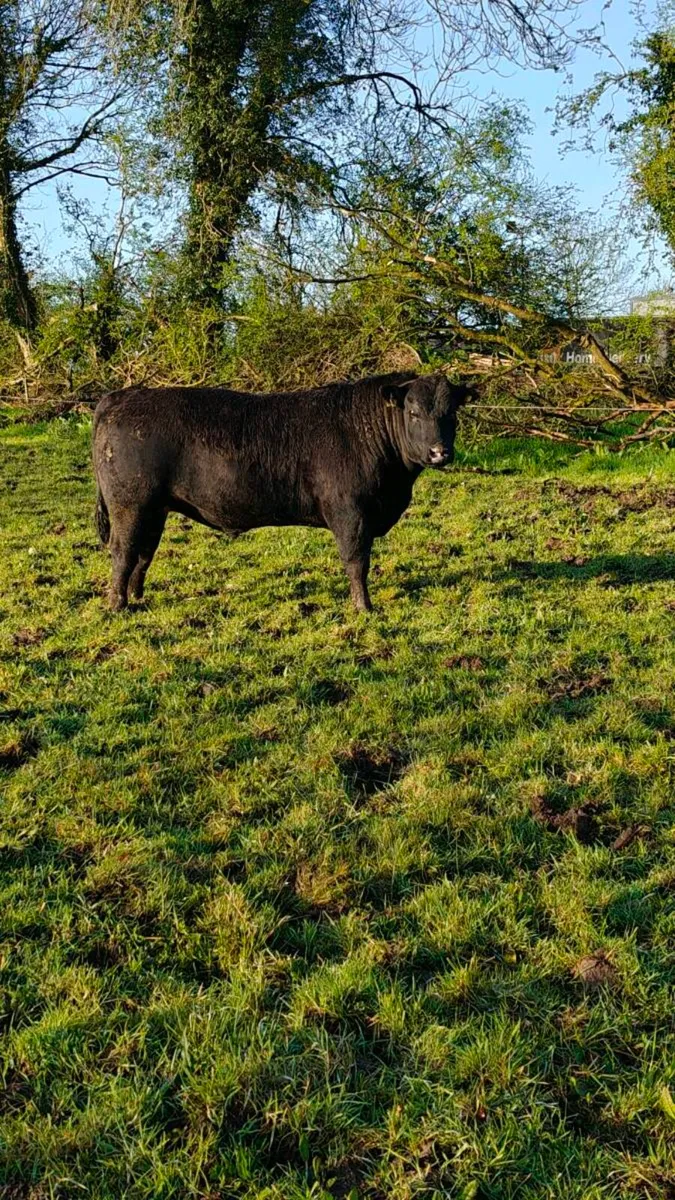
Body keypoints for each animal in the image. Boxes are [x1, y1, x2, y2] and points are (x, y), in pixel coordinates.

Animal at [92, 372, 471, 613]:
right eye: (414, 412)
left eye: (451, 413)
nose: (440, 452)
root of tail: (123, 395)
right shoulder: (351, 514)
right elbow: (356, 563)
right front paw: (364, 607)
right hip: (129, 505)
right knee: (123, 551)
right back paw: (117, 604)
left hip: (154, 509)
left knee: (143, 552)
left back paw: (136, 596)